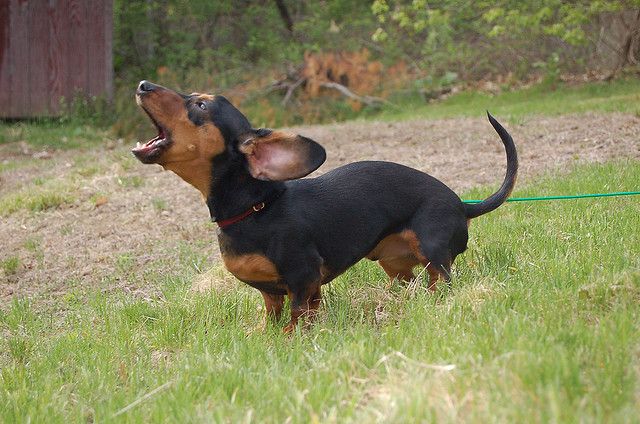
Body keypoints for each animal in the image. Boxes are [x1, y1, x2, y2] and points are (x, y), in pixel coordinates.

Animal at [132, 79, 516, 332]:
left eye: (200, 105)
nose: (143, 84)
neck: (256, 210)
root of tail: (462, 205)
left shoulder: (303, 277)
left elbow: (296, 317)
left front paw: (290, 342)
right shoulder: (274, 293)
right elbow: (275, 315)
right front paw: (265, 337)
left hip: (434, 251)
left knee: (441, 281)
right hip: (392, 262)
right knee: (409, 283)